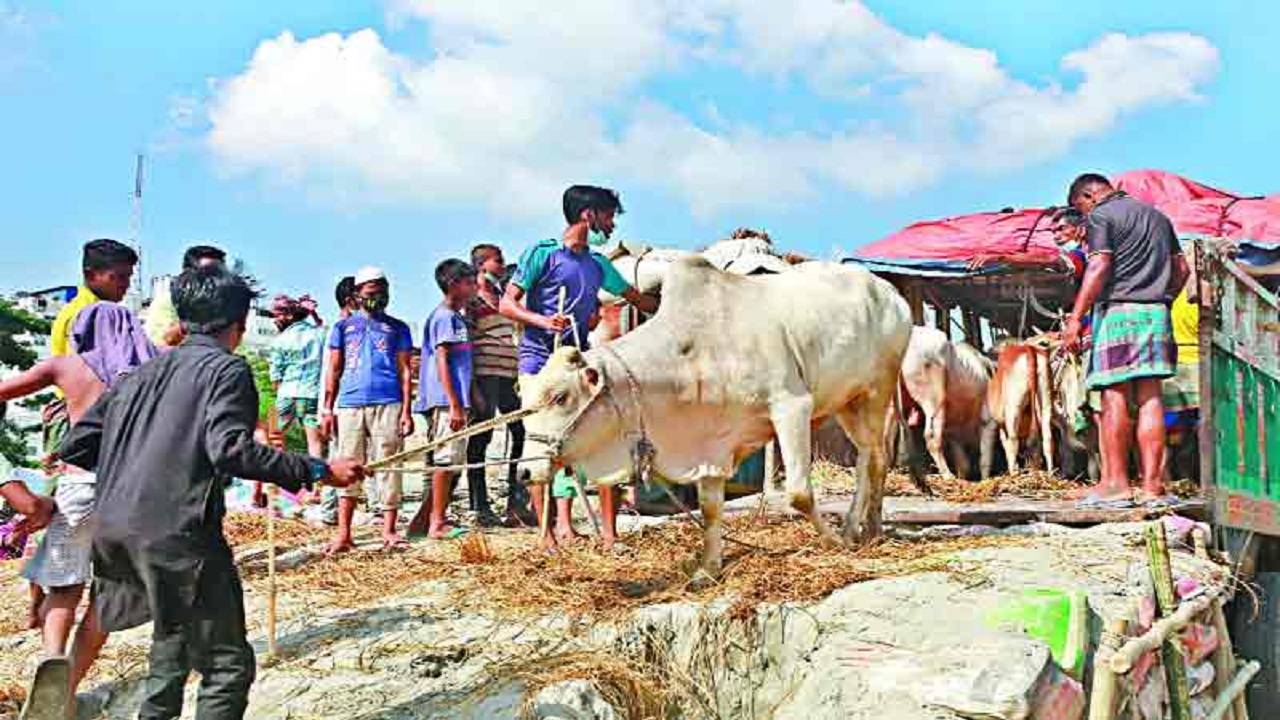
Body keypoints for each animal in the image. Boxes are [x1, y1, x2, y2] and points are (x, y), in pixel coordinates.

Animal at [519, 257, 911, 584]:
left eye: (560, 397)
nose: (523, 471)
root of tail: (889, 292)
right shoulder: (709, 444)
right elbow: (709, 509)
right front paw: (707, 570)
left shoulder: (792, 406)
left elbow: (799, 494)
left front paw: (832, 544)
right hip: (847, 401)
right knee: (867, 456)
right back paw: (862, 526)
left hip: (877, 389)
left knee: (874, 458)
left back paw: (863, 530)